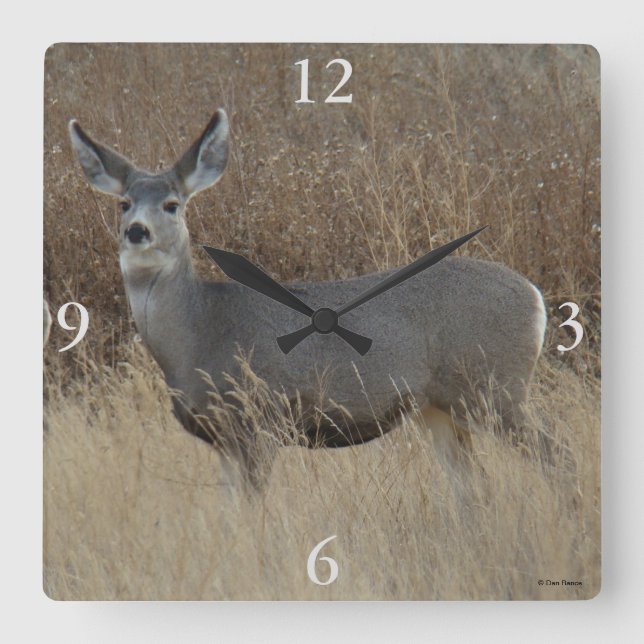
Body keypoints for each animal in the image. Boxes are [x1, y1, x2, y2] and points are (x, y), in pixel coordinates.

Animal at [68, 108, 547, 491]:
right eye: (123, 203)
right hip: (439, 407)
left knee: (551, 456)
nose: (137, 231)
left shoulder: (258, 421)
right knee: (474, 488)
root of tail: (535, 297)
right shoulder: (221, 438)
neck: (198, 334)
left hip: (496, 387)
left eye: (171, 204)